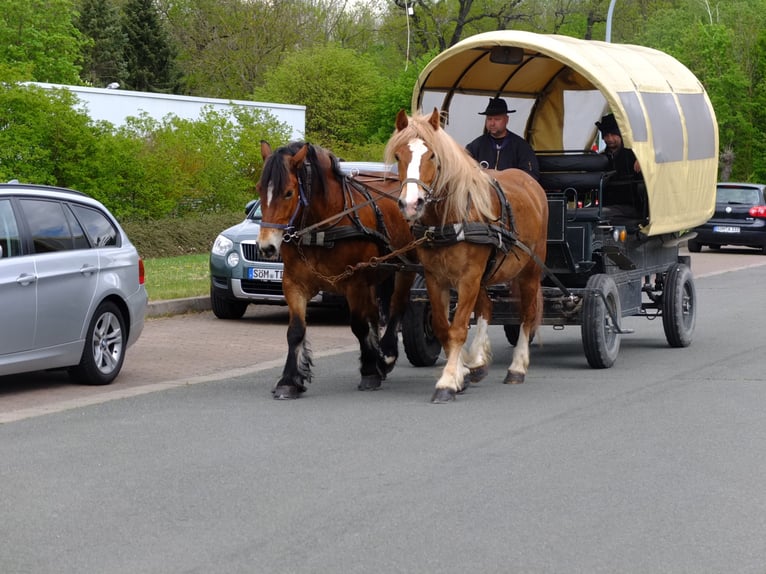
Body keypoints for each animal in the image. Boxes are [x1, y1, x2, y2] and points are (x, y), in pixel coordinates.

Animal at [258, 141, 416, 400]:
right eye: (260, 189)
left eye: (289, 192)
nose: (266, 247)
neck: (321, 228)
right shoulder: (294, 283)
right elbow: (295, 331)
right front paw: (289, 380)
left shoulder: (355, 282)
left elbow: (359, 326)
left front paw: (370, 371)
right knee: (375, 314)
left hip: (406, 266)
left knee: (396, 307)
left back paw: (387, 355)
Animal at [388, 109, 548, 404]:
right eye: (398, 155)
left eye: (432, 156)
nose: (411, 204)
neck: (450, 219)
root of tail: (530, 181)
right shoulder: (435, 279)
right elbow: (443, 327)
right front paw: (461, 370)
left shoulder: (468, 278)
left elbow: (459, 328)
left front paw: (448, 381)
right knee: (487, 307)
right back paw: (477, 361)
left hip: (530, 270)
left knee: (527, 314)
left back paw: (517, 367)